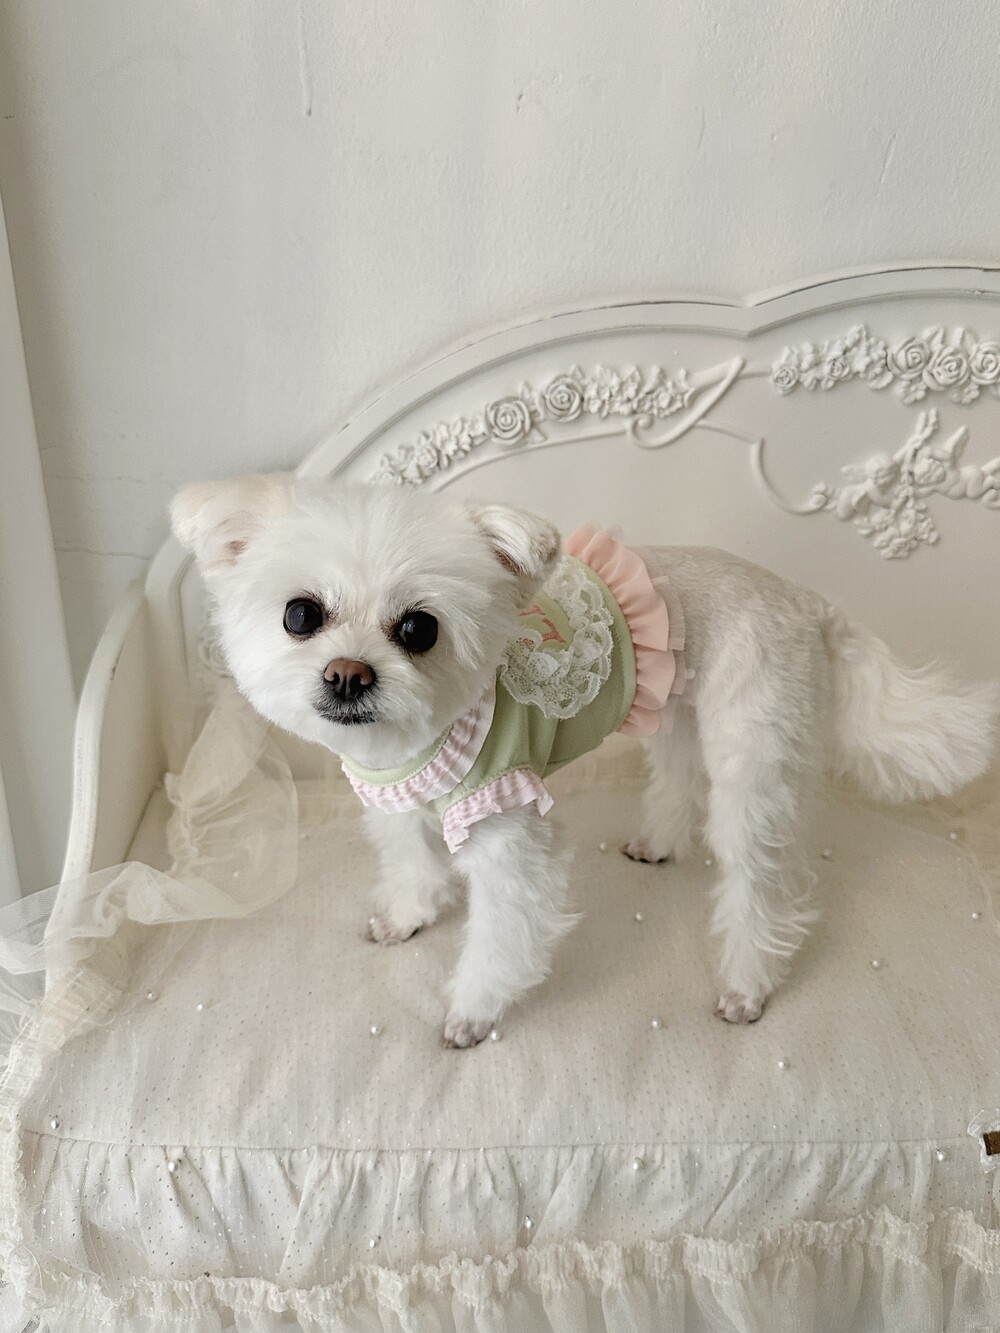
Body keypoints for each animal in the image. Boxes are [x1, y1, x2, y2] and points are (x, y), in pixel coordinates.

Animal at [171, 475, 998, 1046]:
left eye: (418, 628)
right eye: (300, 614)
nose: (348, 674)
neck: (420, 745)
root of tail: (805, 599)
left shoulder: (506, 825)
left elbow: (502, 934)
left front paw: (473, 1012)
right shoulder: (397, 803)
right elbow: (413, 866)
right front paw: (409, 915)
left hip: (754, 758)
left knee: (759, 884)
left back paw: (748, 984)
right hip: (678, 711)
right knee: (678, 779)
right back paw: (658, 842)